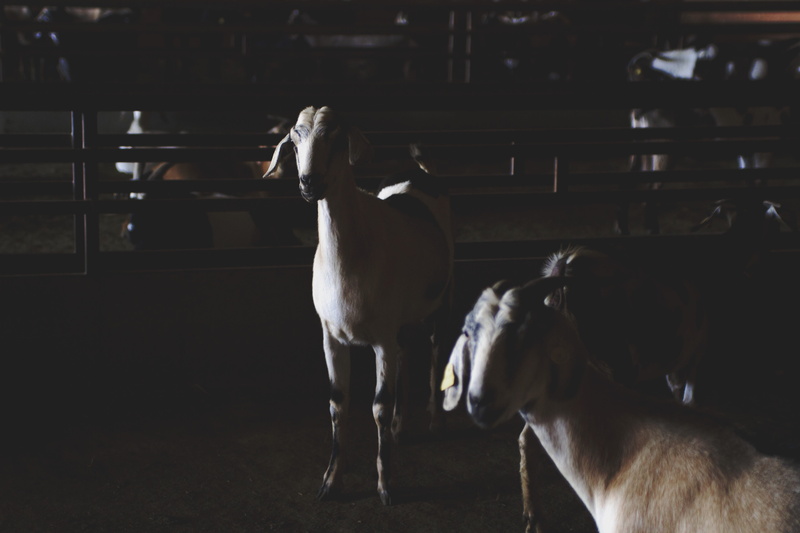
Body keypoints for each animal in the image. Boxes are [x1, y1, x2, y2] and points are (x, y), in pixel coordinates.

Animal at [265, 106, 453, 505]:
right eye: (295, 138)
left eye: (334, 137)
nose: (309, 183)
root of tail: (420, 171)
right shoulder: (332, 337)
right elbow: (338, 403)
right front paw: (331, 480)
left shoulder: (380, 340)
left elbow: (377, 405)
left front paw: (385, 485)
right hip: (400, 318)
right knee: (406, 355)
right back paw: (400, 428)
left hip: (442, 296)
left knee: (435, 351)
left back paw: (434, 421)